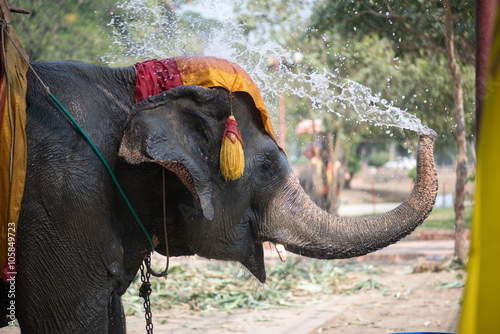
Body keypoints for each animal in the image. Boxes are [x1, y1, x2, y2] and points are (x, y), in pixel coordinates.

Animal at [0, 57, 438, 332]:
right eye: (267, 167)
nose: (427, 132)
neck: (125, 88)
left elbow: (113, 314)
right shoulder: (62, 195)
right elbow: (68, 320)